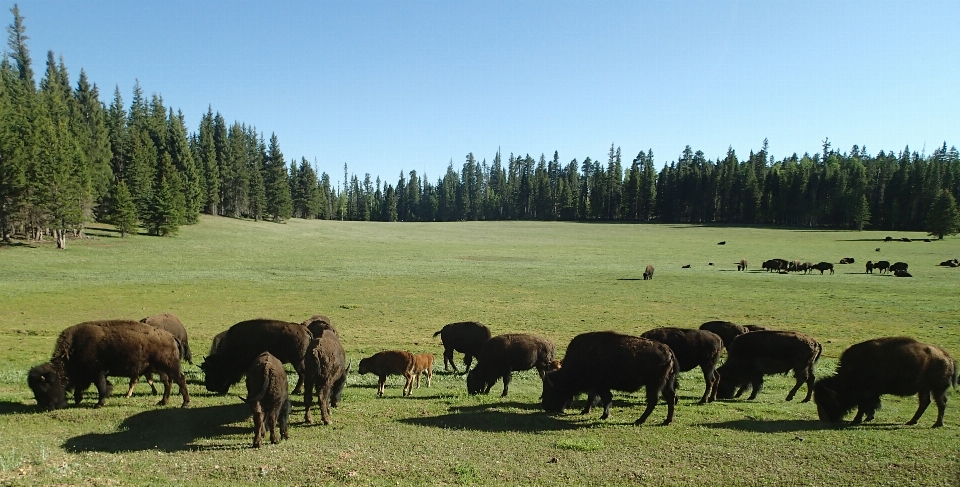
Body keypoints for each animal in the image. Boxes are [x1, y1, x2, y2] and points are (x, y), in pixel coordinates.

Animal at [28, 320, 191, 412]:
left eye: (44, 388)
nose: (45, 407)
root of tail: (171, 336)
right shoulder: (90, 375)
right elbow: (85, 387)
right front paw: (79, 399)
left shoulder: (98, 373)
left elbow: (101, 387)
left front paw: (99, 404)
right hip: (161, 369)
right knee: (168, 383)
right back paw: (162, 402)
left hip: (169, 367)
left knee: (180, 380)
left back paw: (185, 403)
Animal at [540, 332, 684, 428]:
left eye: (551, 390)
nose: (546, 407)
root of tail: (668, 350)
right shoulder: (596, 387)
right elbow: (592, 398)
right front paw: (585, 411)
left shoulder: (601, 386)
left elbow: (605, 399)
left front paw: (604, 415)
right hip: (666, 384)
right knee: (671, 397)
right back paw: (667, 421)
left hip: (654, 384)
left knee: (653, 400)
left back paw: (640, 420)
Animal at [812, 338, 956, 428]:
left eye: (827, 400)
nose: (824, 419)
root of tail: (947, 356)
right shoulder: (872, 393)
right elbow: (870, 406)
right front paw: (868, 418)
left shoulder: (866, 393)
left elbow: (863, 406)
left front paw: (856, 420)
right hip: (924, 388)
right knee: (925, 402)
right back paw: (911, 421)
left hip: (938, 389)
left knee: (941, 403)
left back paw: (937, 424)